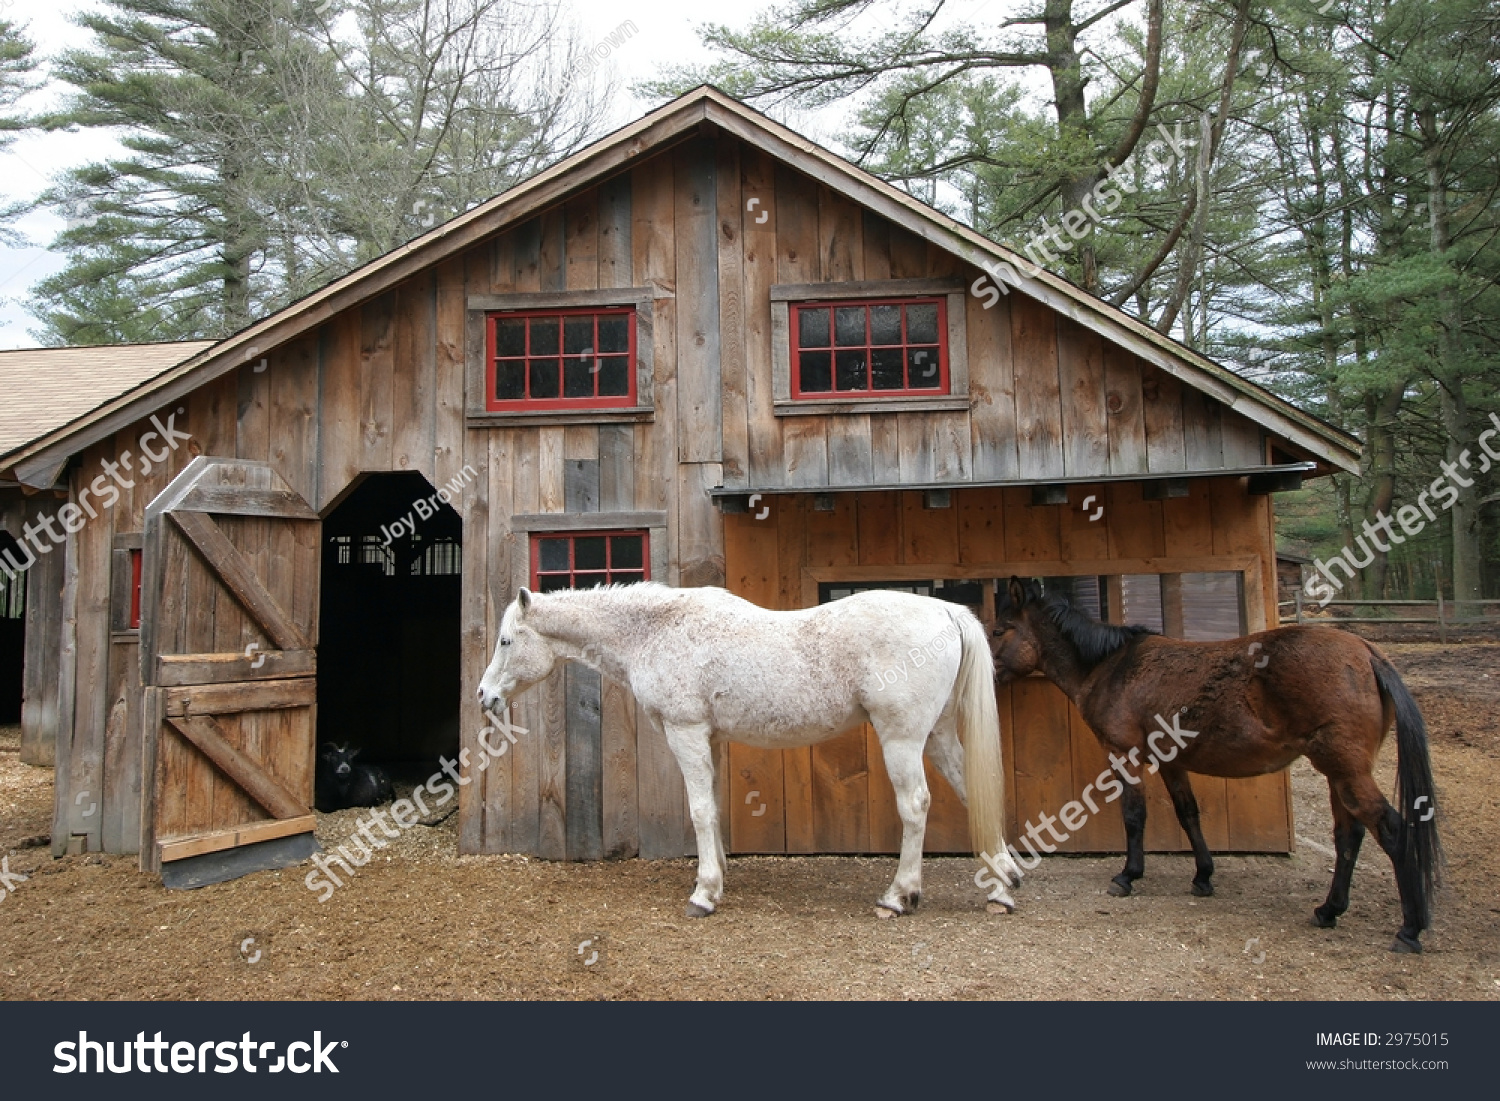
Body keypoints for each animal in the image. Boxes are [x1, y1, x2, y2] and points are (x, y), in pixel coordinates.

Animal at [474, 582, 1026, 918]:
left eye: (506, 642)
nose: (484, 696)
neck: (656, 631)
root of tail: (946, 610)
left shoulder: (686, 732)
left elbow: (698, 810)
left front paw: (704, 892)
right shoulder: (711, 738)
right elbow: (714, 808)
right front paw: (718, 877)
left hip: (903, 739)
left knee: (915, 807)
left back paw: (899, 895)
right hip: (938, 736)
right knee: (973, 793)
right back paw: (1002, 887)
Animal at [990, 582, 1434, 954]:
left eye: (998, 631)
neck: (1111, 667)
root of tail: (1367, 652)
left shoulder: (1125, 756)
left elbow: (1134, 816)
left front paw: (1128, 876)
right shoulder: (1171, 763)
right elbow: (1189, 814)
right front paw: (1203, 876)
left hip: (1345, 771)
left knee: (1392, 830)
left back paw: (1409, 929)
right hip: (1338, 773)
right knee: (1349, 836)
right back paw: (1328, 910)